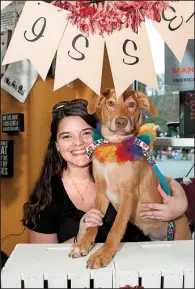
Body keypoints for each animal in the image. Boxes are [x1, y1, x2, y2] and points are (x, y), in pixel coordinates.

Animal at [69, 88, 191, 268]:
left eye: (132, 104)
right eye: (111, 103)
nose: (121, 122)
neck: (115, 146)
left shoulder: (128, 194)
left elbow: (115, 229)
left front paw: (103, 254)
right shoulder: (101, 192)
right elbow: (93, 224)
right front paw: (83, 244)